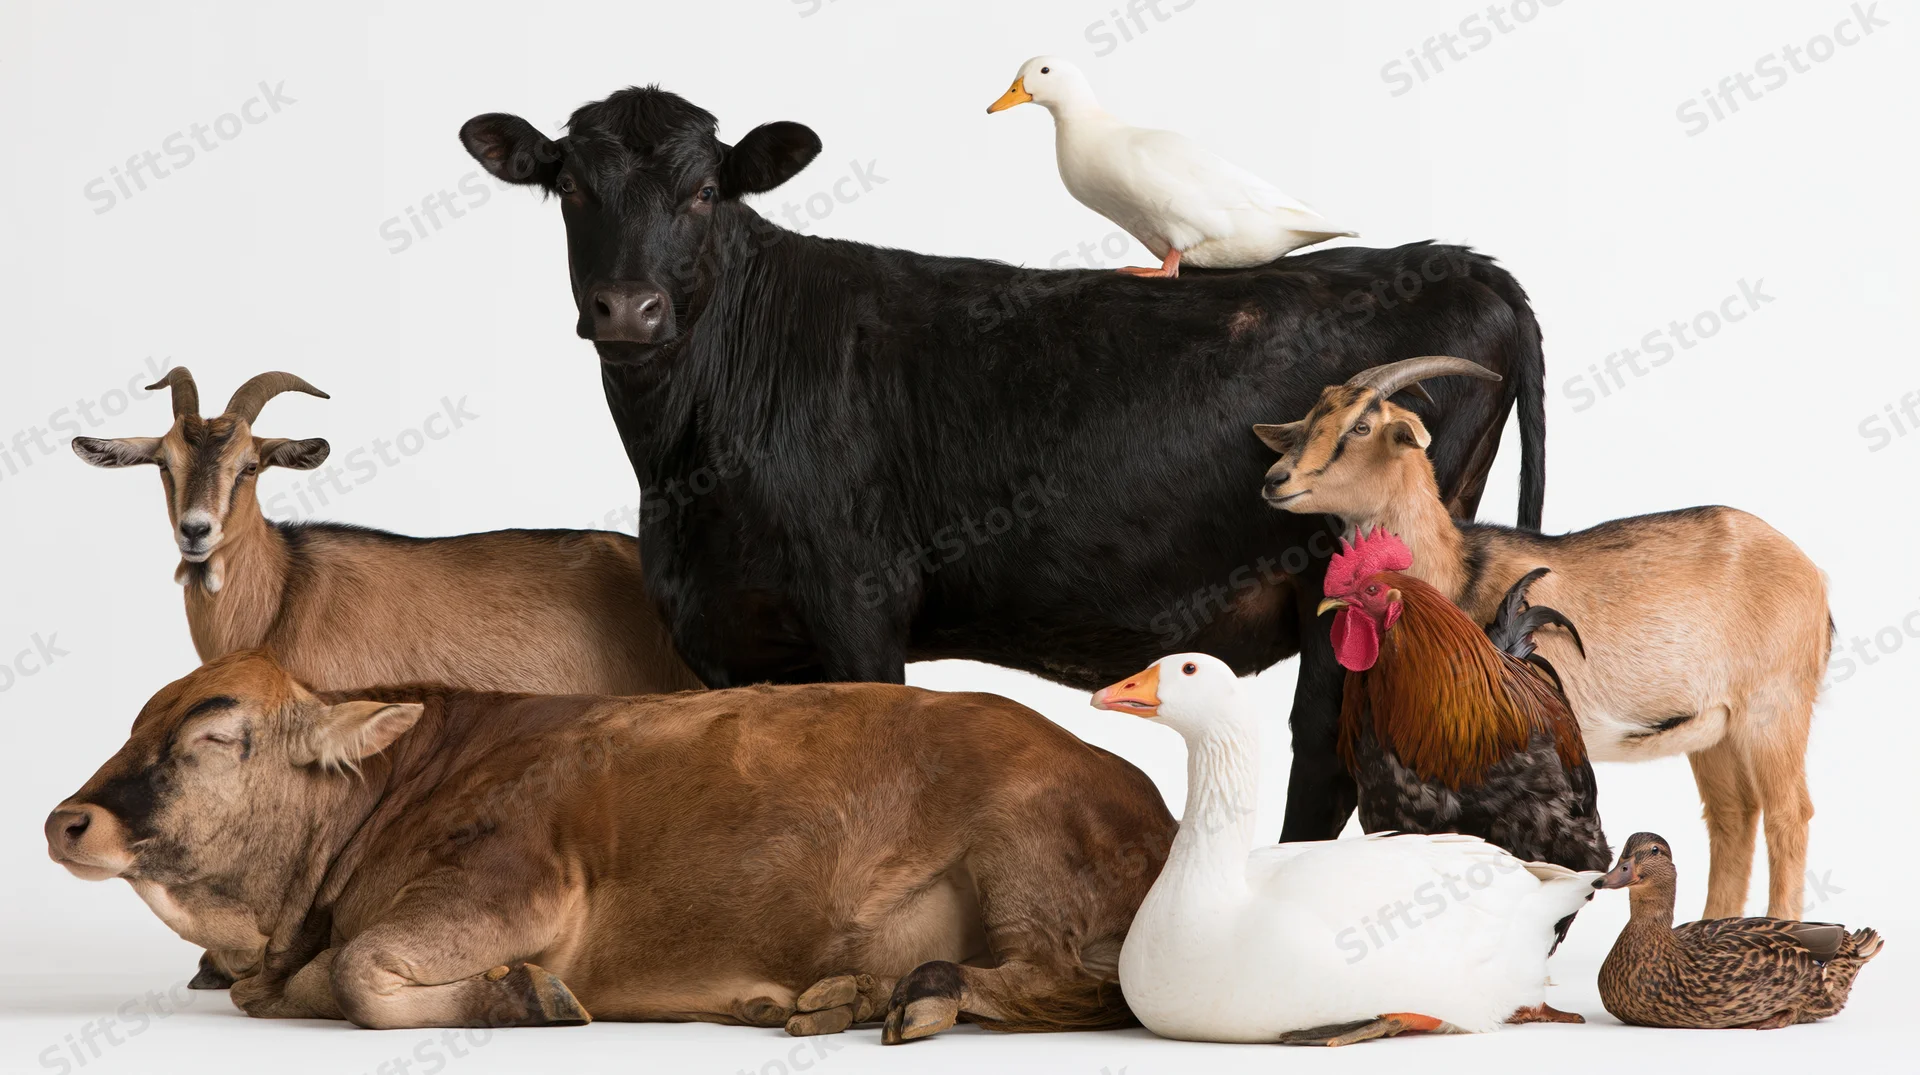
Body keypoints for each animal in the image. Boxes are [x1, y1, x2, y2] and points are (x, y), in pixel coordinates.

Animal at [45, 651, 1174, 1039]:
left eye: (215, 735)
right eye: (134, 724)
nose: (66, 818)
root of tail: (1153, 805)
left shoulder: (521, 882)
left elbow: (361, 973)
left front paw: (524, 996)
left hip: (1025, 851)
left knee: (1074, 984)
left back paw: (925, 991)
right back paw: (837, 996)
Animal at [458, 86, 1547, 842]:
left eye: (703, 190)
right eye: (571, 185)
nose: (628, 308)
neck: (685, 463)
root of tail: (1462, 261)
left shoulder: (859, 598)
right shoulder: (719, 629)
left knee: (1327, 753)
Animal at [1255, 356, 1828, 920]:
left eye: (1362, 426)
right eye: (1310, 420)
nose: (1276, 480)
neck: (1459, 570)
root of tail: (1812, 575)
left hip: (1774, 707)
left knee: (1787, 813)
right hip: (1714, 730)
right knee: (1733, 814)